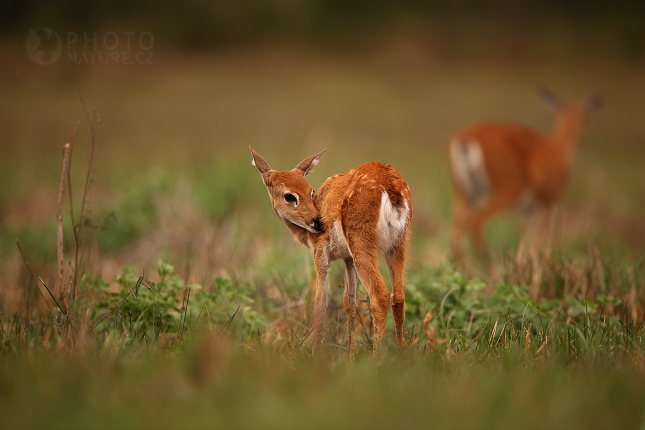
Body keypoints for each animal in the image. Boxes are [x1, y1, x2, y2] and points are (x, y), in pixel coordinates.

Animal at [249, 146, 410, 352]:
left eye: (310, 191)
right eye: (290, 195)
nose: (317, 221)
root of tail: (389, 185)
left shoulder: (320, 252)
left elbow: (320, 303)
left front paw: (316, 352)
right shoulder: (348, 258)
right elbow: (349, 301)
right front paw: (350, 352)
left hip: (362, 243)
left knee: (380, 296)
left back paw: (377, 355)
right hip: (398, 245)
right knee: (399, 297)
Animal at [450, 88, 600, 278]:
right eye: (586, 116)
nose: (581, 140)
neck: (559, 151)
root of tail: (467, 137)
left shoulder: (530, 211)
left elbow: (526, 242)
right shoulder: (545, 205)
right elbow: (535, 242)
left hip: (463, 194)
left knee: (456, 230)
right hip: (504, 192)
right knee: (475, 222)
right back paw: (490, 269)